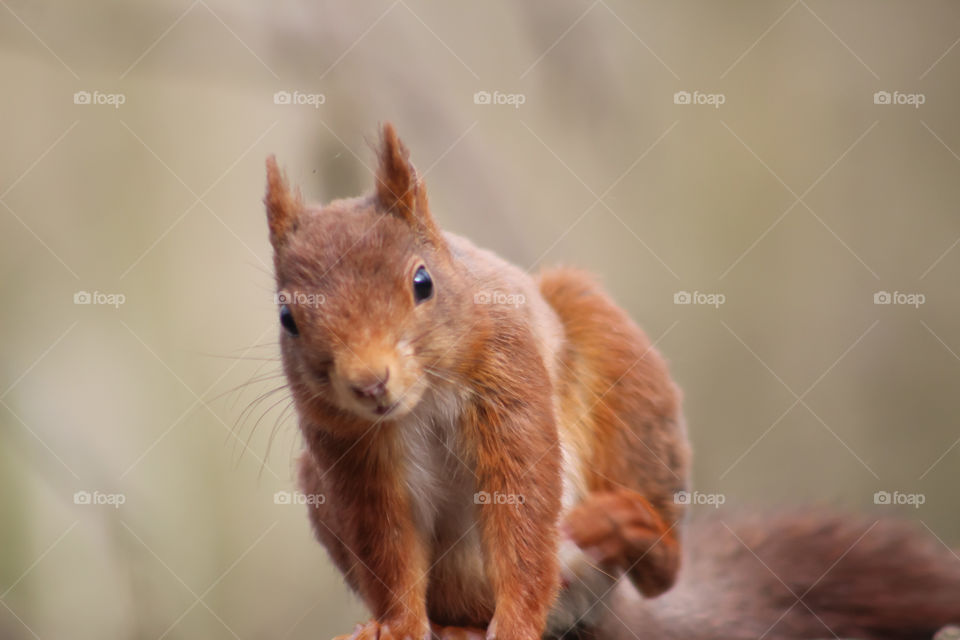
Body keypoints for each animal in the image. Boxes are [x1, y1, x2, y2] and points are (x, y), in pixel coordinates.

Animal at [264, 122, 691, 640]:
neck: (423, 399)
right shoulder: (349, 449)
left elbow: (522, 509)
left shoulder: (509, 379)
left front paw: (516, 624)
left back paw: (634, 529)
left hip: (624, 387)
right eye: (287, 318)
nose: (369, 383)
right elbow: (388, 547)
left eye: (422, 282)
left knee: (661, 572)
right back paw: (457, 626)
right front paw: (395, 626)